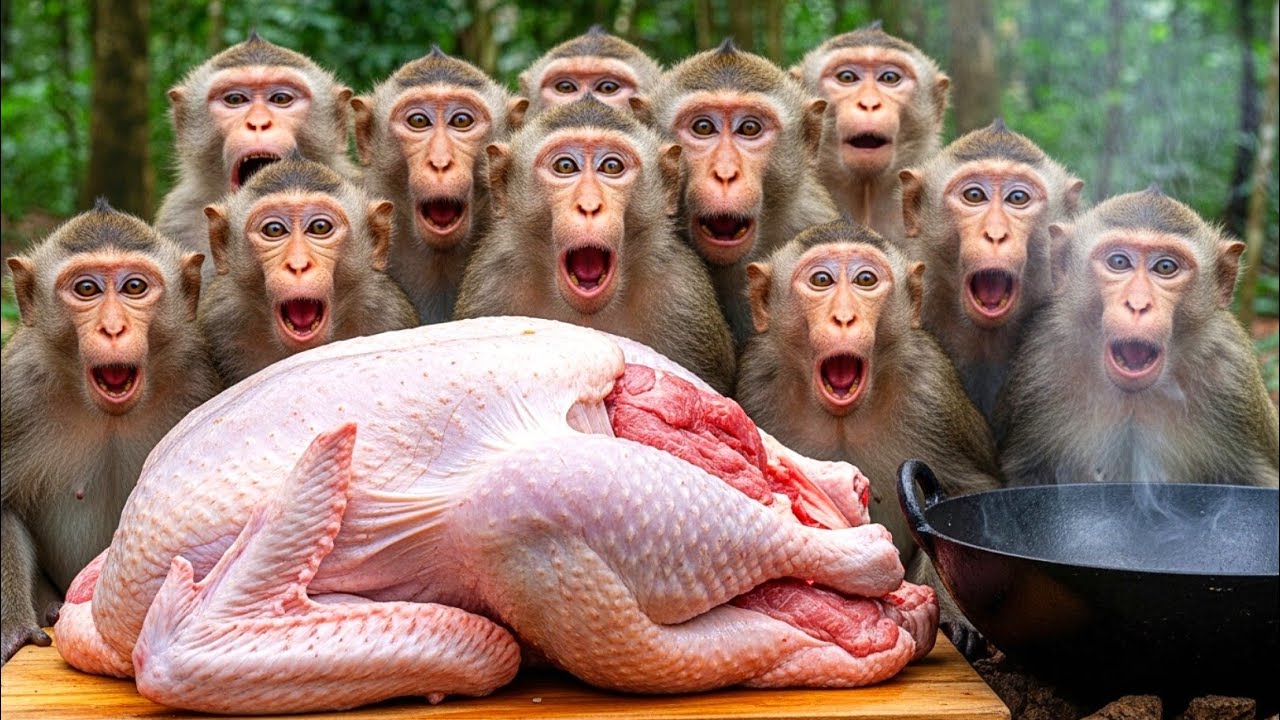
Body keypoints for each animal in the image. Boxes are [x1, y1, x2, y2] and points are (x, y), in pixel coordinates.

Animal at [1, 201, 221, 664]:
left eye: (134, 286)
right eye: (86, 289)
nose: (113, 328)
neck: (110, 416)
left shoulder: (200, 381)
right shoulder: (16, 388)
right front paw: (12, 628)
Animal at [735, 216, 1002, 655]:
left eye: (865, 279)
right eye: (821, 280)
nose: (845, 318)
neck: (844, 416)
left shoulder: (931, 389)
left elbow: (968, 495)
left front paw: (954, 616)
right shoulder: (757, 386)